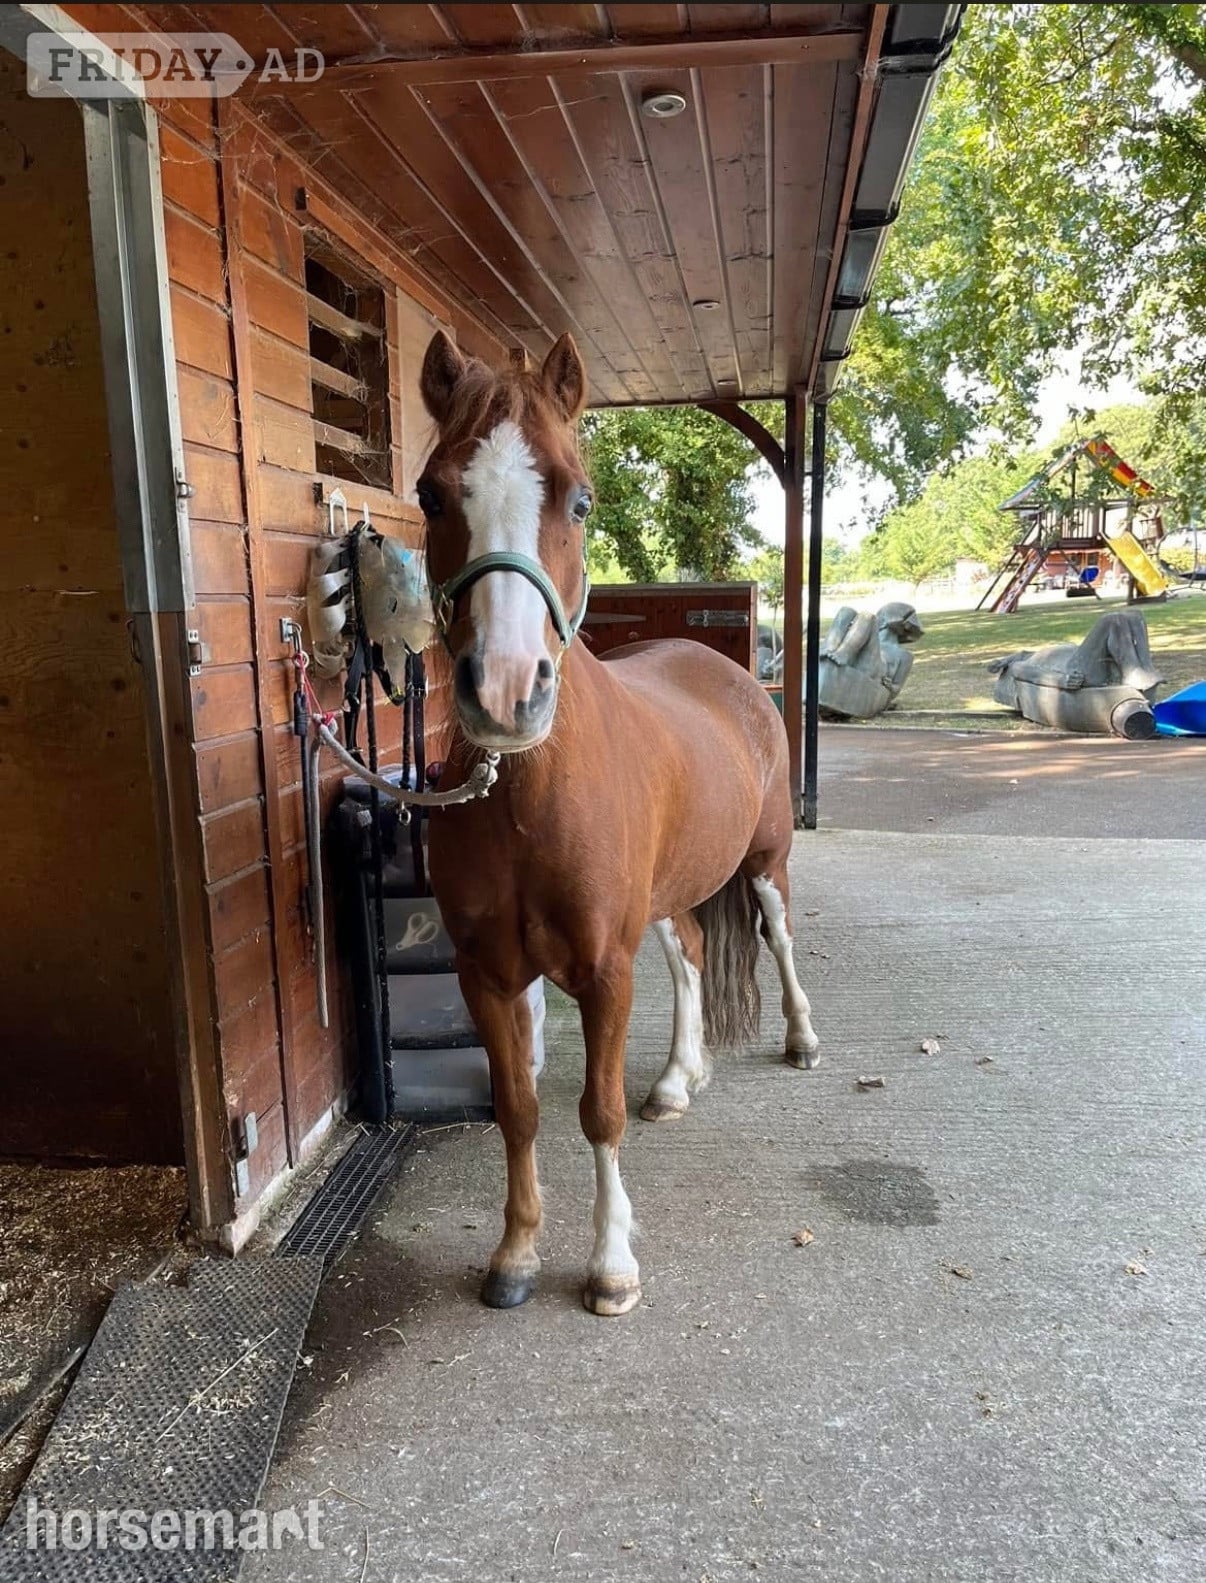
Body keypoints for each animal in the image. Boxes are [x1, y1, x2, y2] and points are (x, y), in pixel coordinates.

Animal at [418, 329, 819, 1317]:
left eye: (580, 497)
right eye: (432, 492)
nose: (505, 691)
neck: (527, 801)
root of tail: (728, 670)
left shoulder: (603, 970)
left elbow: (595, 1112)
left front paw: (610, 1263)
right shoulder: (487, 974)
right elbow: (519, 1109)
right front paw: (516, 1251)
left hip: (765, 862)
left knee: (780, 936)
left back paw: (801, 1038)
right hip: (670, 894)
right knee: (691, 953)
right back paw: (678, 1077)